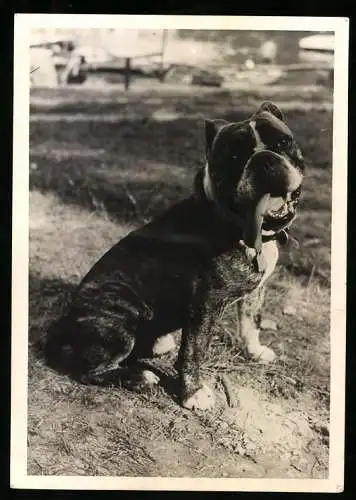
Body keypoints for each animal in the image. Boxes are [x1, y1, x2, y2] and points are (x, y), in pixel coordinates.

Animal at [44, 100, 306, 410]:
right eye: (233, 156)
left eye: (282, 142)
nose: (264, 160)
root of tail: (65, 325)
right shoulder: (205, 306)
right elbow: (193, 352)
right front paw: (194, 393)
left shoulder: (256, 290)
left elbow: (250, 321)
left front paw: (255, 351)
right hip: (120, 322)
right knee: (88, 370)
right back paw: (139, 377)